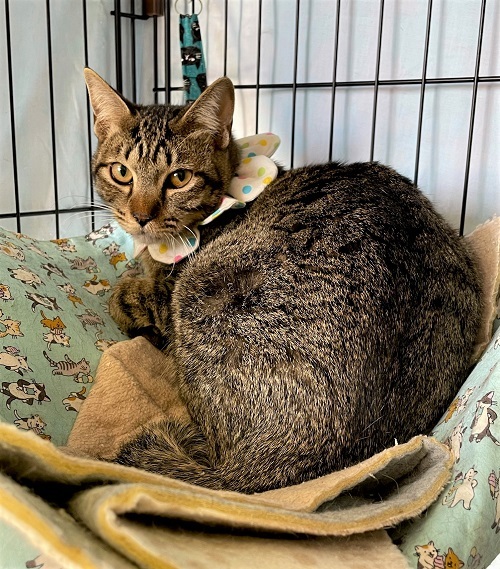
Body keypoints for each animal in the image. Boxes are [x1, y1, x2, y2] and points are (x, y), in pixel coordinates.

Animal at [83, 69, 482, 493]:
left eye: (179, 178)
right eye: (121, 172)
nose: (140, 216)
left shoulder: (165, 294)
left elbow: (122, 294)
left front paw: (128, 294)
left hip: (198, 290)